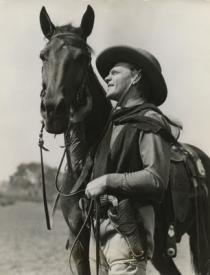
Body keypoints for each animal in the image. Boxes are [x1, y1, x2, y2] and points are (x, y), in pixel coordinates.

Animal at [38, 4, 210, 275]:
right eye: (43, 56)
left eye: (83, 57)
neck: (82, 166)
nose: (54, 110)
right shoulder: (78, 236)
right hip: (161, 252)